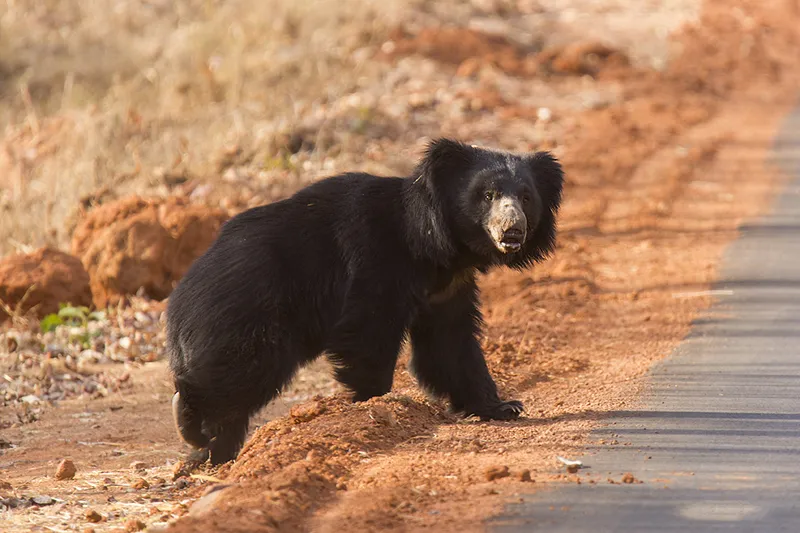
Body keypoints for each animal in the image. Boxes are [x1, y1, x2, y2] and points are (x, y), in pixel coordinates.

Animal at [165, 138, 564, 462]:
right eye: (488, 195)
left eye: (526, 197)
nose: (513, 229)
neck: (439, 247)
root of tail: (178, 297)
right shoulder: (376, 259)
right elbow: (369, 328)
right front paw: (372, 401)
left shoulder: (447, 287)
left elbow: (450, 344)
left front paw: (502, 406)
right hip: (249, 310)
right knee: (241, 369)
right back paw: (193, 425)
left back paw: (214, 451)